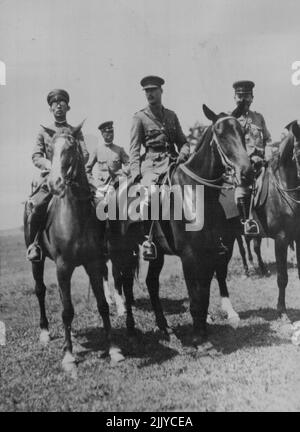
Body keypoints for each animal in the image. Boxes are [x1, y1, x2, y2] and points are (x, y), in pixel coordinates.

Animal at [105, 104, 253, 352]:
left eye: (242, 132)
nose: (247, 171)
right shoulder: (190, 255)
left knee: (151, 283)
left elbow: (204, 294)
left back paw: (165, 328)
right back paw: (131, 330)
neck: (196, 192)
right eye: (221, 134)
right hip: (123, 251)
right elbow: (195, 296)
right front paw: (200, 339)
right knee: (125, 283)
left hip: (156, 254)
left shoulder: (210, 252)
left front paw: (203, 330)